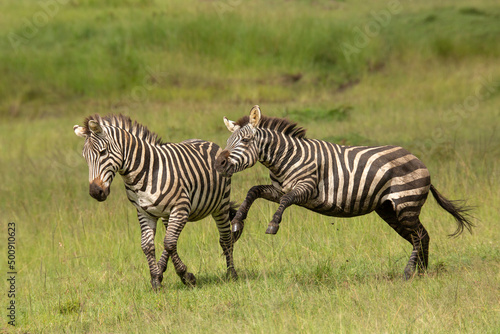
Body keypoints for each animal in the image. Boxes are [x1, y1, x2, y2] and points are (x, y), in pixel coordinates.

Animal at [74, 115, 244, 290]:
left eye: (103, 152)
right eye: (85, 157)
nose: (95, 192)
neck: (146, 171)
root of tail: (203, 140)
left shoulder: (180, 208)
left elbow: (168, 243)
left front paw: (186, 277)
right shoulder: (144, 212)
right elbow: (149, 246)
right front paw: (156, 279)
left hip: (220, 205)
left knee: (225, 239)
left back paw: (231, 274)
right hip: (167, 215)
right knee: (172, 240)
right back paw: (161, 269)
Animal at [215, 104, 472, 280]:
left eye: (245, 141)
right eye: (227, 142)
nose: (218, 163)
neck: (286, 158)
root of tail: (419, 160)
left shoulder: (306, 187)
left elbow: (286, 200)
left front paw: (273, 224)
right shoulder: (278, 189)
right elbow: (253, 191)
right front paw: (237, 222)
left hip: (405, 205)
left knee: (419, 236)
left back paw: (410, 272)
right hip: (390, 211)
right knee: (422, 235)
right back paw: (422, 272)